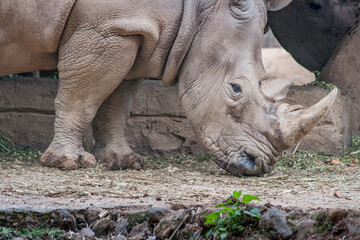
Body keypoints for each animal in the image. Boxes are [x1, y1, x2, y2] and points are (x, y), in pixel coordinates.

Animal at [0, 0, 338, 176]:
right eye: (235, 90)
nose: (256, 166)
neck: (201, 8)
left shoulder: (132, 30)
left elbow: (116, 102)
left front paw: (123, 161)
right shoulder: (107, 29)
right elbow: (81, 98)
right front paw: (69, 164)